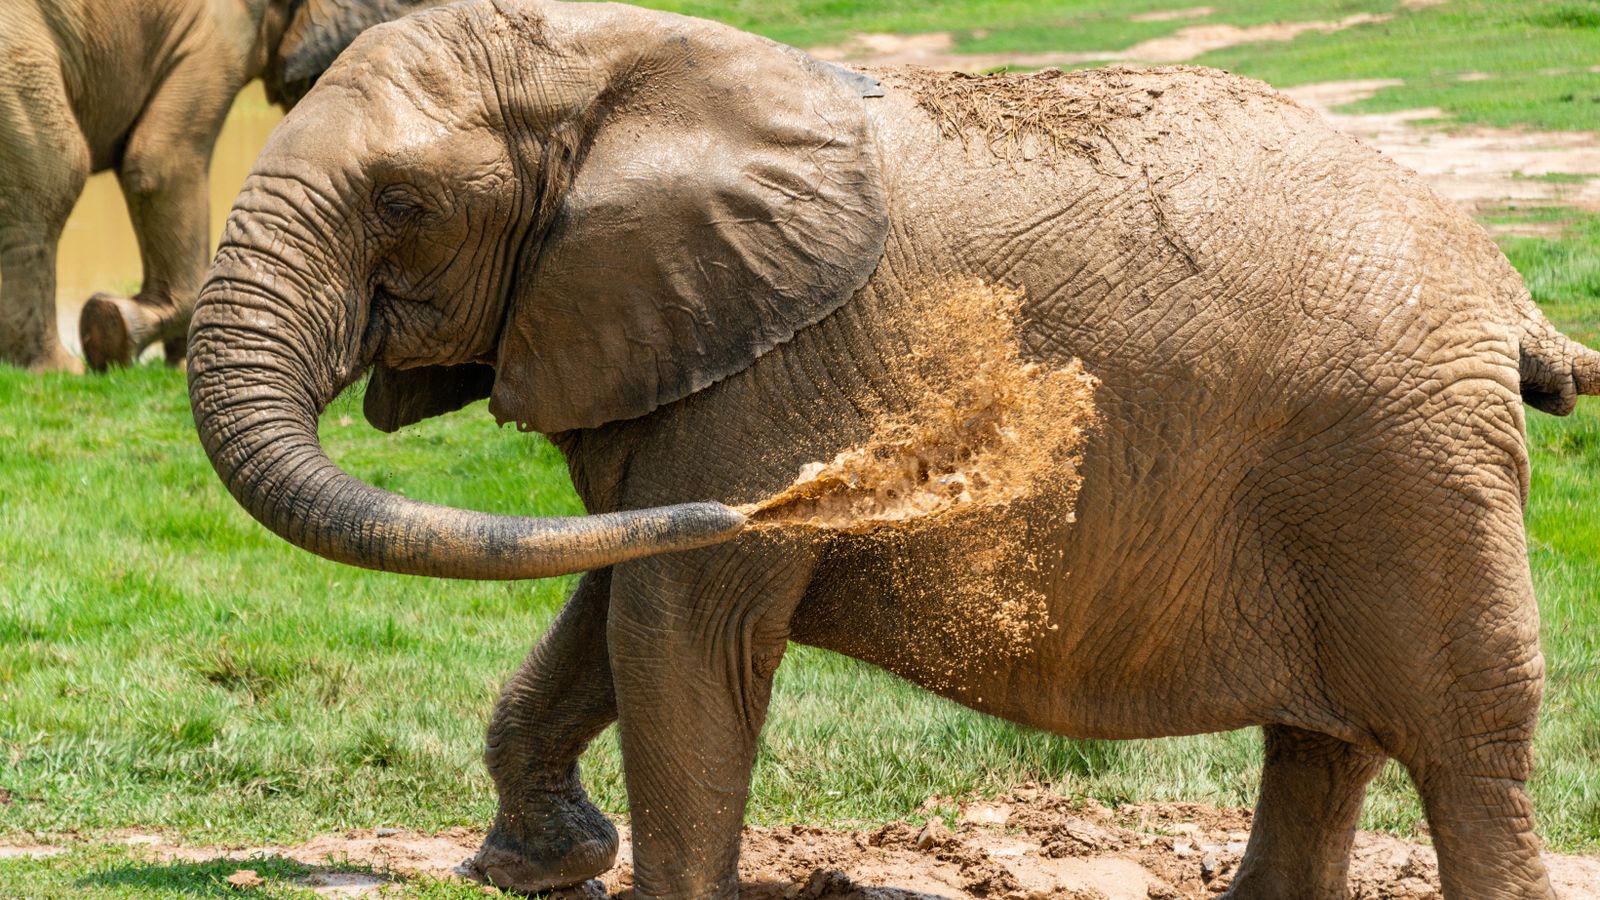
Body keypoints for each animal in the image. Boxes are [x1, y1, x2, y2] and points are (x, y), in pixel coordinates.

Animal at [186, 1, 1600, 897]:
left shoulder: (764, 374)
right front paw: (535, 869)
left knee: (1466, 748)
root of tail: (1508, 290)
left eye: (400, 204)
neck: (622, 59)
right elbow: (616, 598)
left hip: (1410, 473)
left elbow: (677, 627)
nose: (860, 485)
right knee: (1325, 744)